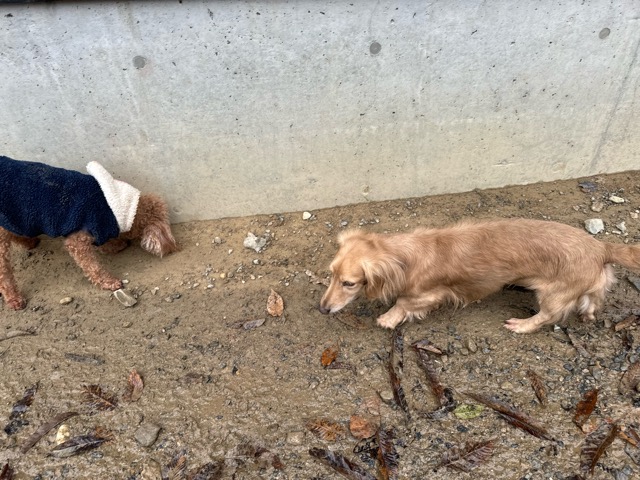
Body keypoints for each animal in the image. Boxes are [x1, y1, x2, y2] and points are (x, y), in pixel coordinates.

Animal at [0, 155, 178, 310]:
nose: (172, 247)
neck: (110, 205)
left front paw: (116, 245)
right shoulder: (80, 238)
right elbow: (92, 265)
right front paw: (109, 281)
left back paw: (29, 242)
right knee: (4, 273)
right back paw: (14, 299)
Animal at [319, 218, 640, 333]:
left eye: (349, 283)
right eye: (330, 275)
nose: (322, 309)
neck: (406, 256)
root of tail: (600, 247)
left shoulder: (428, 294)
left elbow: (403, 303)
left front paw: (388, 318)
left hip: (552, 294)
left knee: (547, 316)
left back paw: (522, 325)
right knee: (594, 296)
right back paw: (588, 313)